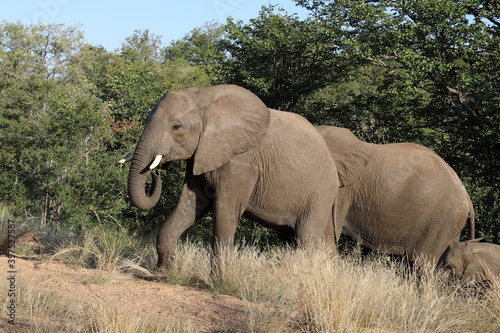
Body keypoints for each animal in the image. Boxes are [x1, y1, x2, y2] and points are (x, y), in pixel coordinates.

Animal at [121, 84, 340, 272]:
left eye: (176, 127)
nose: (156, 171)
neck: (203, 99)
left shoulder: (241, 162)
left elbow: (225, 208)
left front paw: (219, 280)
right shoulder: (201, 154)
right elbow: (191, 204)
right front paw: (164, 273)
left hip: (320, 191)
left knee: (307, 237)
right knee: (296, 238)